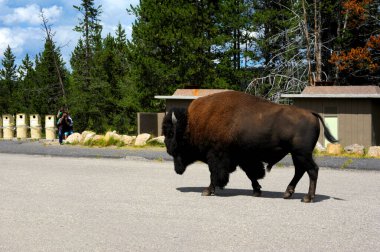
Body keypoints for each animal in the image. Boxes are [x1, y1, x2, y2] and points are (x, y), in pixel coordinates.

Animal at [162, 90, 336, 203]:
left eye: (171, 134)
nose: (168, 149)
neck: (191, 124)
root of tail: (312, 113)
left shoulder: (217, 156)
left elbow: (214, 174)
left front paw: (207, 191)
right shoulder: (244, 158)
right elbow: (251, 174)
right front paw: (257, 191)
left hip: (301, 153)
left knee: (312, 170)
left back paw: (307, 198)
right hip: (296, 154)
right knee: (300, 171)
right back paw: (287, 193)